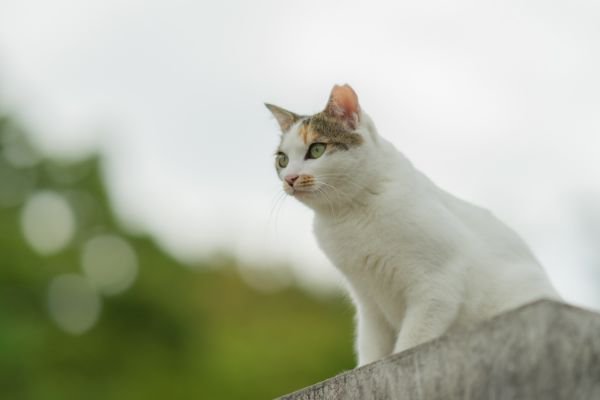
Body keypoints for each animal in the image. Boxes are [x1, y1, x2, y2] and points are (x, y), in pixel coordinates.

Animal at [264, 83, 560, 366]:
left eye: (316, 150)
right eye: (282, 159)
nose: (290, 178)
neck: (349, 214)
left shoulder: (438, 285)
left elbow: (411, 342)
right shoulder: (368, 303)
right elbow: (370, 349)